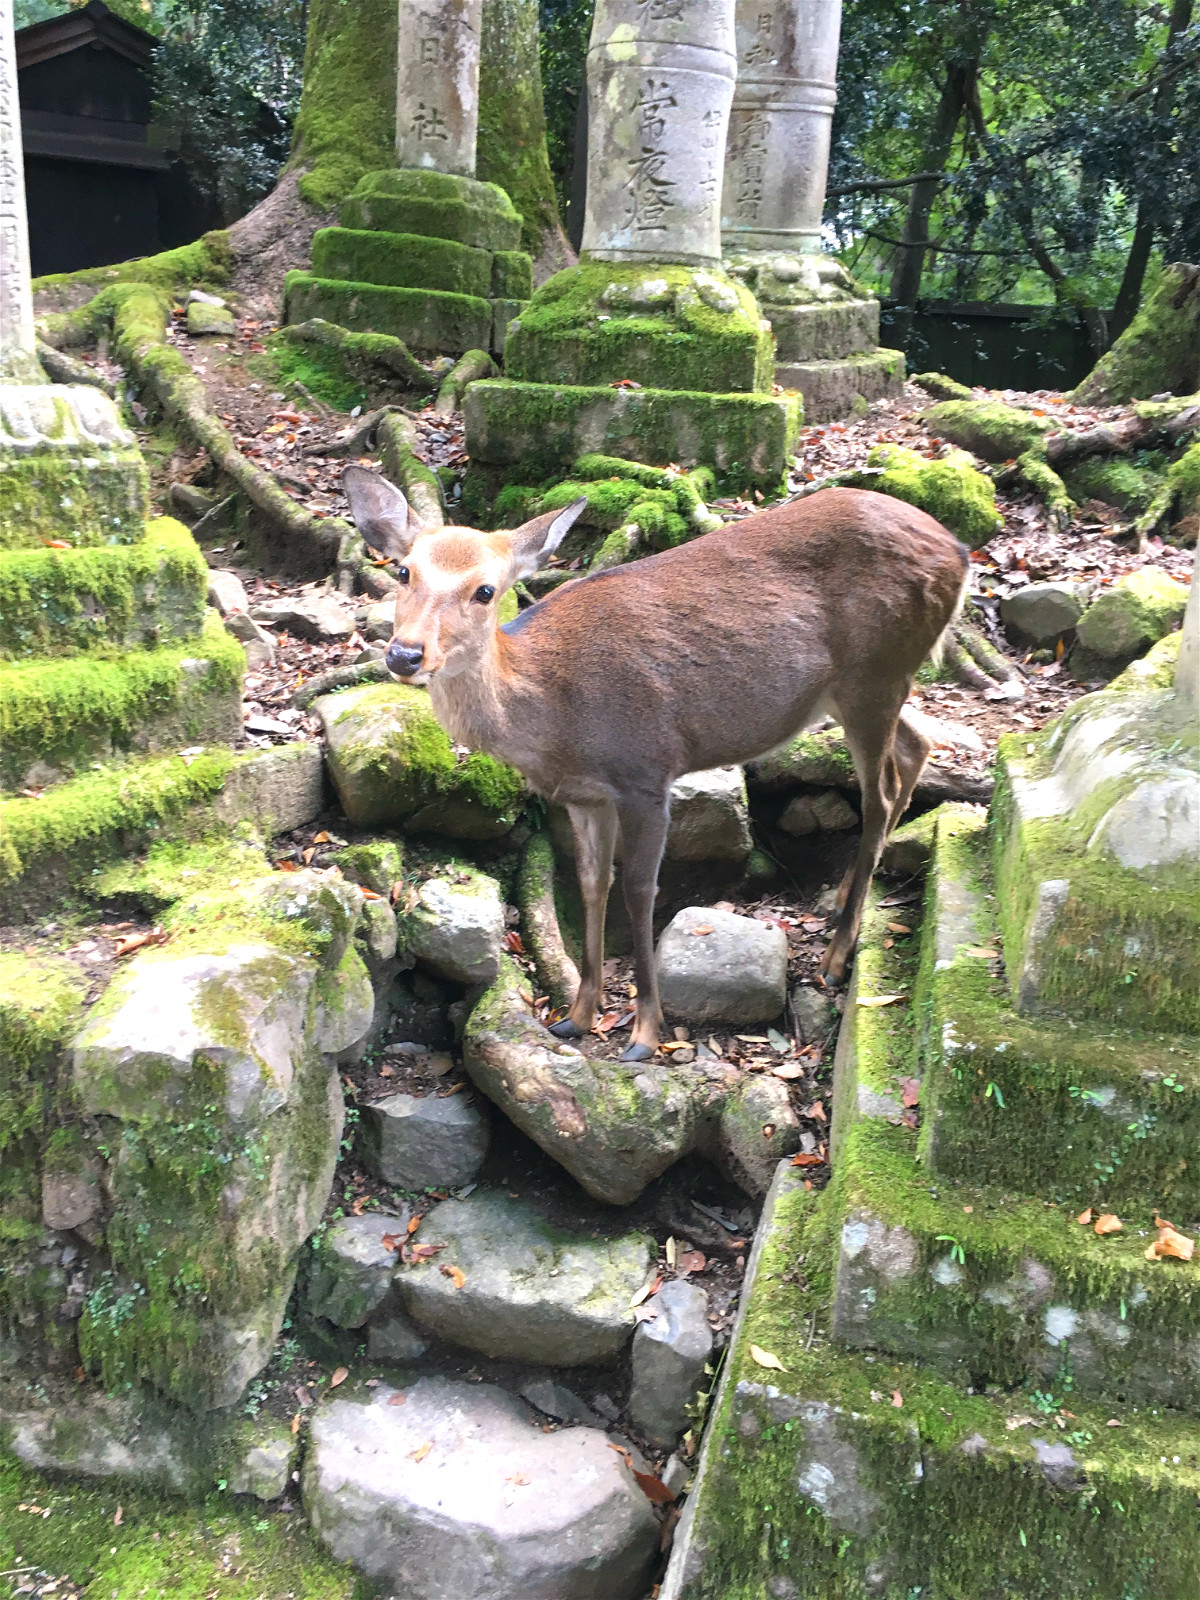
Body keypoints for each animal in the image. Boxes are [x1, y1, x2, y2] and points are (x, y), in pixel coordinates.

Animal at [339, 464, 966, 1062]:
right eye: (403, 572)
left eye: (486, 590)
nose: (405, 654)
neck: (552, 714)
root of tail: (958, 551)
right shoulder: (583, 795)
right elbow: (592, 882)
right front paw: (576, 1015)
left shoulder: (646, 771)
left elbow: (641, 889)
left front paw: (643, 1032)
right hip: (859, 689)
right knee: (916, 745)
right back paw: (841, 903)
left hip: (874, 671)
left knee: (879, 794)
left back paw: (836, 957)